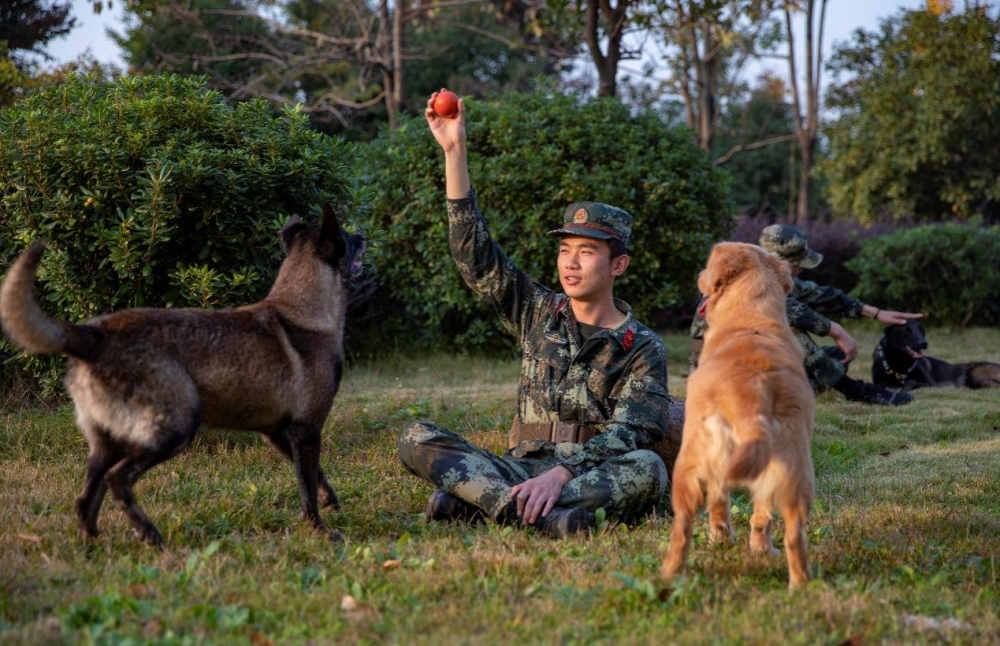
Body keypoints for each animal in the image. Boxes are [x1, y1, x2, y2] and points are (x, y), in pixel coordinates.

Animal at [0, 206, 368, 548]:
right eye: (347, 239)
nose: (363, 235)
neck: (302, 310)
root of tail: (94, 335)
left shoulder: (279, 432)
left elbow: (316, 476)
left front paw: (330, 501)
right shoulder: (306, 430)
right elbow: (307, 488)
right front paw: (320, 530)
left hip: (109, 442)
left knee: (87, 498)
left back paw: (95, 544)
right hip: (175, 427)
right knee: (117, 480)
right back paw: (149, 535)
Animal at [660, 243, 816, 592]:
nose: (698, 275)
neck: (751, 314)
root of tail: (754, 393)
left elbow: (718, 505)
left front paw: (720, 539)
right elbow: (761, 512)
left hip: (690, 463)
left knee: (684, 527)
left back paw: (671, 572)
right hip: (795, 473)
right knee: (791, 533)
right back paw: (797, 583)